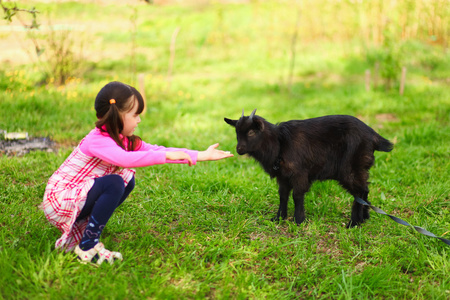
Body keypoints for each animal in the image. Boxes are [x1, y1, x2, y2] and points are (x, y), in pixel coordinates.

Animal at [225, 109, 394, 227]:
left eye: (251, 132)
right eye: (236, 132)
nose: (239, 149)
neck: (280, 142)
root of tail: (373, 136)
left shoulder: (300, 174)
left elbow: (297, 195)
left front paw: (298, 220)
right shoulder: (283, 177)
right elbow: (283, 196)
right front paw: (279, 218)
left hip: (349, 169)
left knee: (359, 192)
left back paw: (354, 223)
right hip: (360, 168)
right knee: (364, 189)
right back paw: (364, 218)